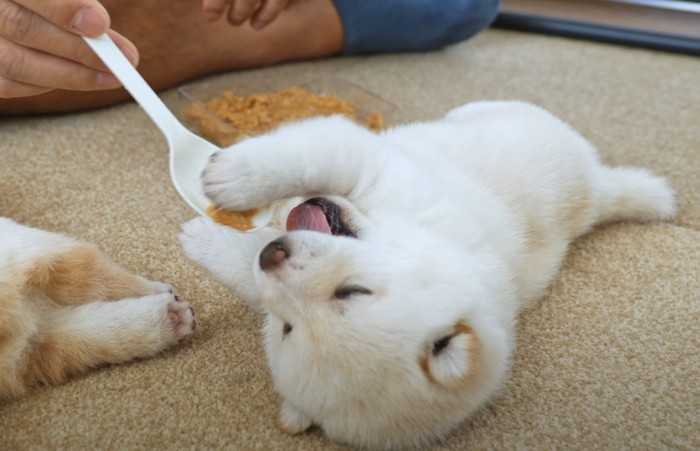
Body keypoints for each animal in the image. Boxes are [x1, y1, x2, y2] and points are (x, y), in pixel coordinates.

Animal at [178, 100, 676, 450]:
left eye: (287, 328)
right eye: (354, 291)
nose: (274, 254)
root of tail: (598, 186)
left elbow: (248, 269)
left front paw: (205, 235)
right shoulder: (371, 165)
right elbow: (302, 159)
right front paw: (234, 177)